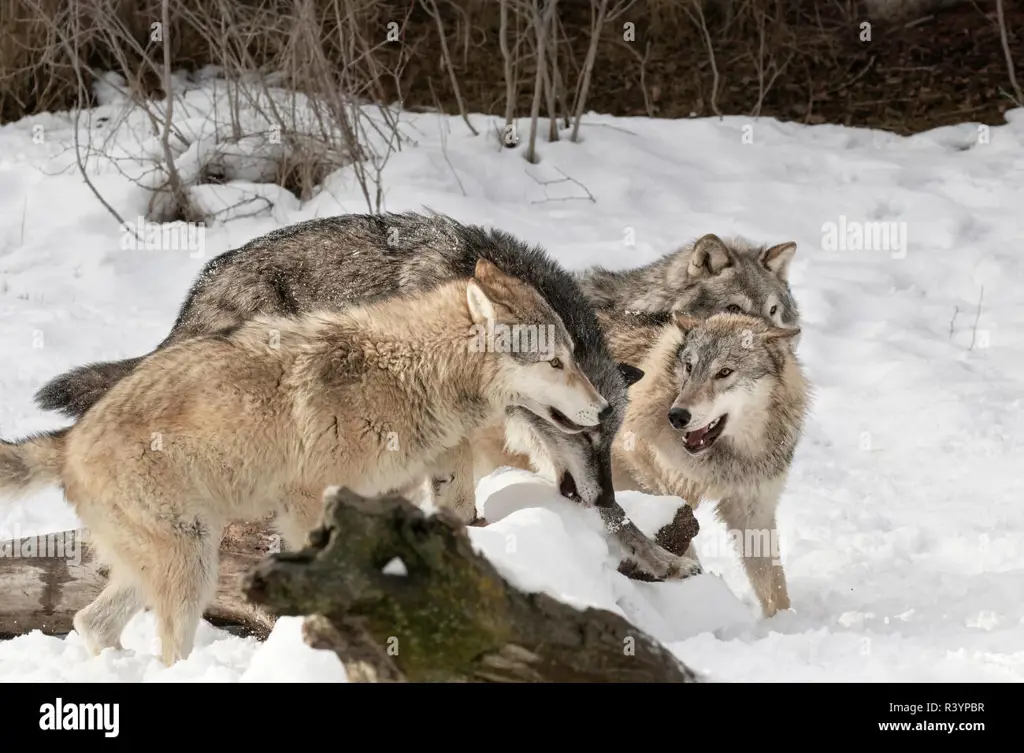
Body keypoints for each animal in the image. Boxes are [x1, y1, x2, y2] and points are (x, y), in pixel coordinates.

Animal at [2, 259, 614, 663]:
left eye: (572, 358)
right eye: (556, 362)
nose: (606, 407)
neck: (413, 373)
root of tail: (69, 440)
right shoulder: (306, 503)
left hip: (181, 555)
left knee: (89, 621)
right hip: (192, 566)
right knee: (163, 649)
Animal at [36, 212, 700, 581]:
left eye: (608, 436)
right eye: (576, 428)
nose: (602, 488)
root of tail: (199, 288)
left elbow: (616, 520)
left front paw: (659, 557)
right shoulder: (448, 433)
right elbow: (459, 501)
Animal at [598, 307, 806, 618]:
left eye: (724, 372)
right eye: (689, 367)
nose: (677, 416)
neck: (724, 461)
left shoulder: (753, 512)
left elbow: (775, 588)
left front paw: (783, 624)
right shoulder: (649, 477)